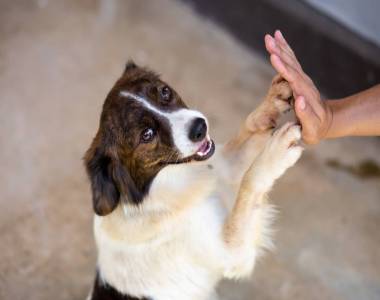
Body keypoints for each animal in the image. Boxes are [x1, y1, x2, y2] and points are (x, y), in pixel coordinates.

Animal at [84, 61, 302, 300]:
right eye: (147, 134)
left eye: (164, 92)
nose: (200, 127)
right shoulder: (232, 252)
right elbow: (250, 180)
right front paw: (277, 151)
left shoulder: (223, 166)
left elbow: (249, 127)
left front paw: (272, 101)